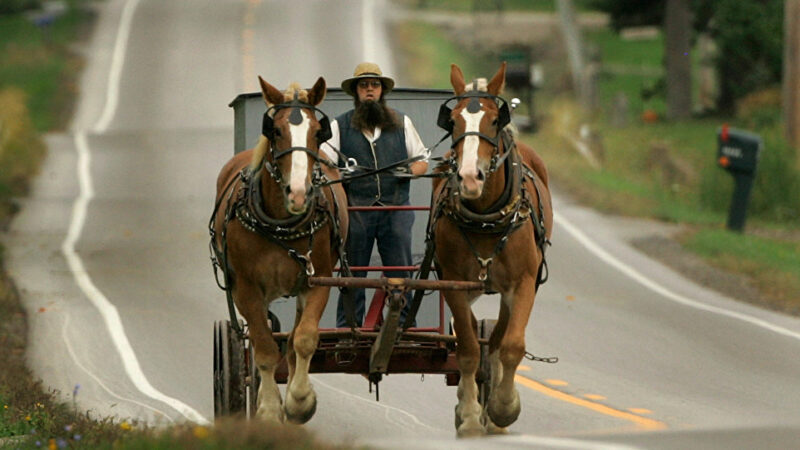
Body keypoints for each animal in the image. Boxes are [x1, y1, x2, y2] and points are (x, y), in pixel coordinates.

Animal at [212, 75, 346, 424]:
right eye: (275, 131)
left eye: (318, 132)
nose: (298, 193)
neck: (281, 223)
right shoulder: (246, 288)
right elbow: (264, 348)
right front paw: (270, 410)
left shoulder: (318, 279)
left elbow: (303, 339)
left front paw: (300, 401)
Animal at [432, 63, 556, 436]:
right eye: (453, 121)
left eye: (494, 120)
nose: (469, 178)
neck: (486, 216)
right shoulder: (454, 283)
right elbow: (468, 348)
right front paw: (471, 416)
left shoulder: (524, 282)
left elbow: (512, 345)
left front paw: (503, 408)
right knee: (473, 332)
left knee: (499, 336)